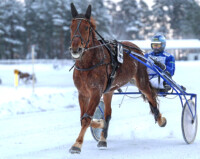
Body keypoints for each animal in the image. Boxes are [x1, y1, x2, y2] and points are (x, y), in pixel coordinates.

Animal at [68, 2, 166, 154]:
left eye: (86, 27)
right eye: (71, 27)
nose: (75, 49)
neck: (88, 64)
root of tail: (136, 49)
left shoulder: (96, 92)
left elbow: (86, 119)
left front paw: (77, 145)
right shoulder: (83, 93)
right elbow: (85, 117)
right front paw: (99, 123)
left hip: (141, 81)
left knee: (151, 96)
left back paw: (160, 119)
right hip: (109, 90)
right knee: (108, 114)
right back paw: (103, 139)